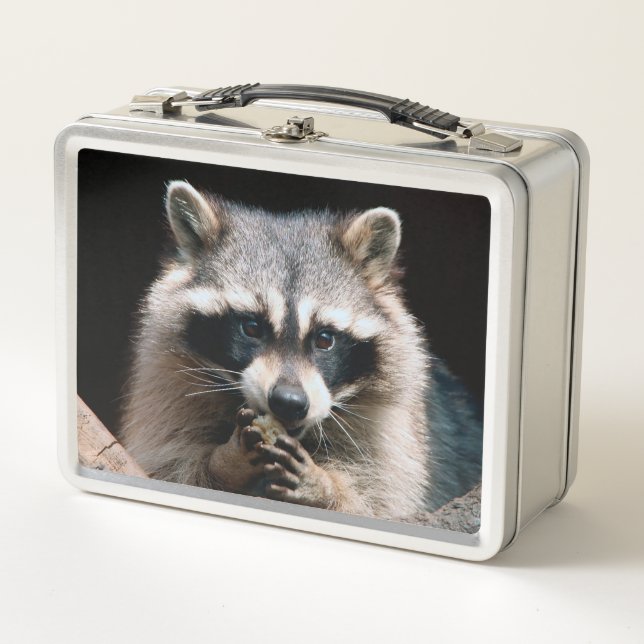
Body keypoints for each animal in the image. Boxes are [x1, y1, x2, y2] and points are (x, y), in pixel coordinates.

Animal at [120, 180, 480, 520]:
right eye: (252, 327)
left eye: (324, 339)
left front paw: (327, 487)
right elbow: (169, 464)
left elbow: (380, 501)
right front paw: (224, 462)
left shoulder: (398, 436)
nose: (289, 402)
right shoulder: (168, 387)